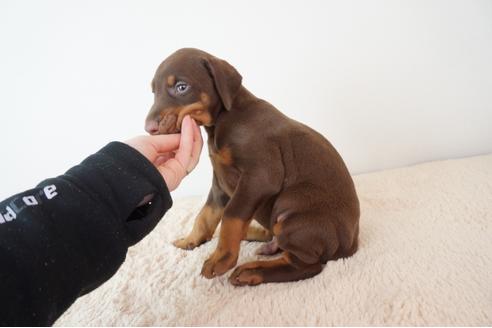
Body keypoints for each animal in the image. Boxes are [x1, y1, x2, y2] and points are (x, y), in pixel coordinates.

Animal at [144, 47, 360, 286]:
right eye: (153, 92)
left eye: (182, 87)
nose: (149, 128)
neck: (226, 118)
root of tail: (350, 246)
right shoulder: (220, 183)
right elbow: (206, 215)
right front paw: (191, 240)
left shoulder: (260, 177)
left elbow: (231, 214)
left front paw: (222, 259)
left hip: (291, 210)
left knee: (306, 266)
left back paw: (251, 271)